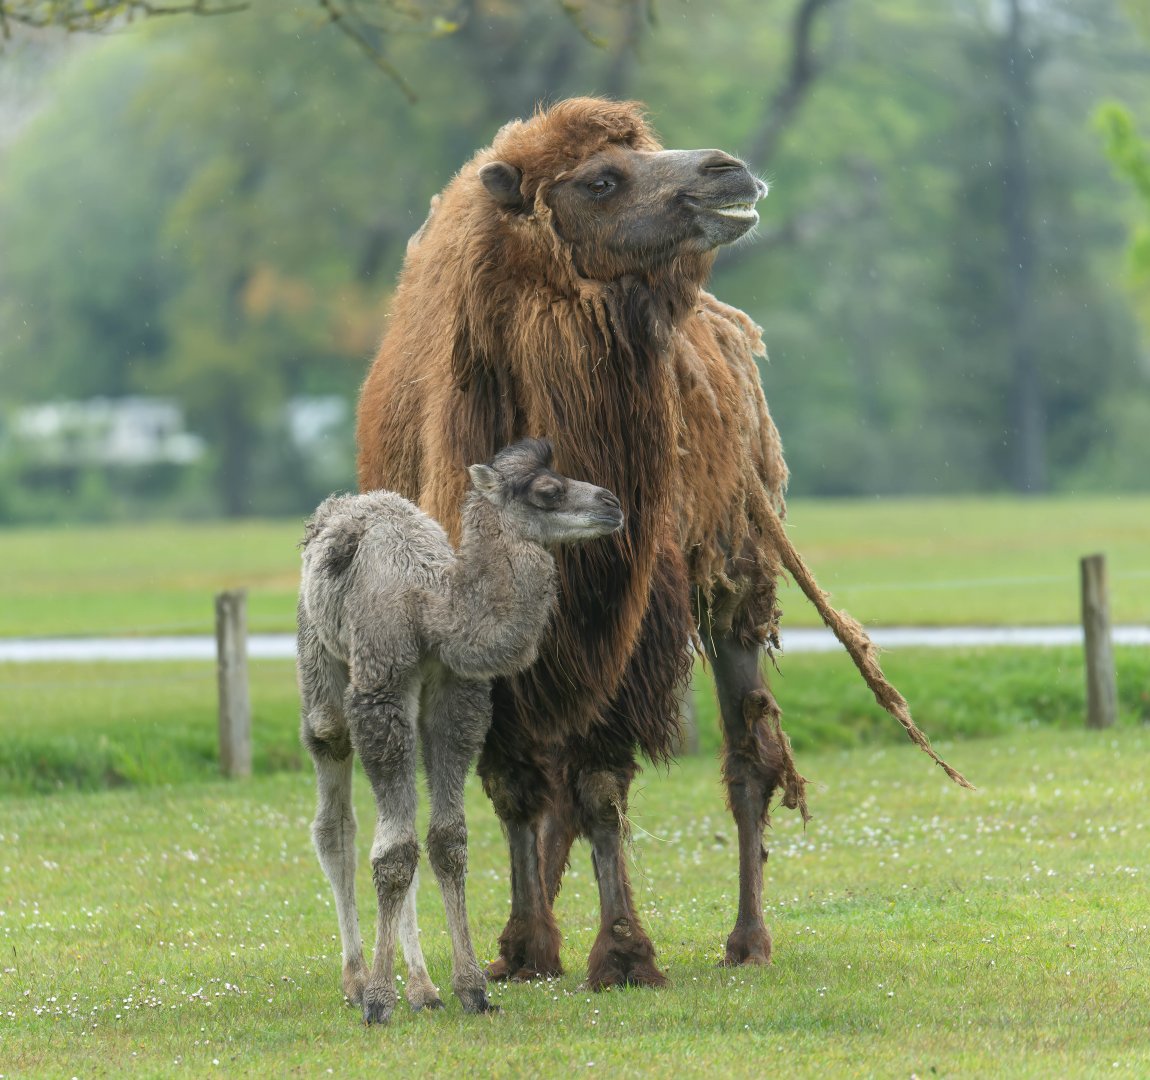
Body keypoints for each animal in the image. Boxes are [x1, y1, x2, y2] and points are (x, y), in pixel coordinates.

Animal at [298, 438, 624, 1024]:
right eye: (547, 490)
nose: (613, 503)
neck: (432, 609)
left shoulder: (458, 698)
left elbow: (445, 842)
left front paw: (471, 988)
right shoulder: (380, 692)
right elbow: (393, 852)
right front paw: (377, 1001)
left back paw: (421, 987)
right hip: (319, 660)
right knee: (336, 812)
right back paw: (357, 980)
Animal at [356, 98, 969, 991]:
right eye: (600, 180)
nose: (727, 170)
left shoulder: (627, 621)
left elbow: (601, 783)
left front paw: (622, 952)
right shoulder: (485, 646)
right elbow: (515, 781)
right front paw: (526, 947)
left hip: (736, 568)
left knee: (747, 752)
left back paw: (748, 938)